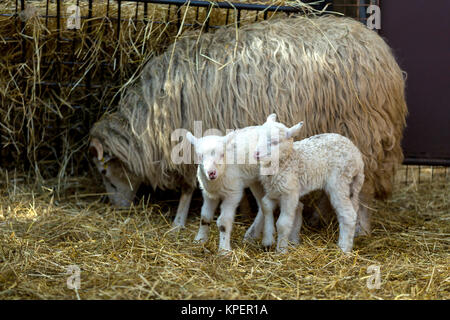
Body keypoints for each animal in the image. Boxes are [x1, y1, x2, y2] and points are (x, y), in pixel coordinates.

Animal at [89, 15, 408, 231]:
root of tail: (381, 50)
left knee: (364, 190)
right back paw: (318, 217)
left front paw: (180, 220)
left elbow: (188, 188)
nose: (118, 208)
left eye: (104, 172)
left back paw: (361, 228)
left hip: (363, 134)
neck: (150, 119)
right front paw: (241, 211)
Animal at [186, 126, 302, 254]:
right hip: (256, 182)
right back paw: (252, 235)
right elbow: (205, 217)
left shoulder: (233, 192)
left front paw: (224, 250)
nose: (211, 173)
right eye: (200, 156)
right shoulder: (209, 193)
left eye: (222, 154)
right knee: (263, 205)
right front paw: (199, 240)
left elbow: (223, 222)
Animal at [253, 114, 366, 252]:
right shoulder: (274, 190)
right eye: (259, 137)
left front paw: (281, 250)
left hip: (339, 181)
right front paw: (268, 239)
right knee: (354, 209)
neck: (287, 160)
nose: (256, 154)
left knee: (348, 214)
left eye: (275, 142)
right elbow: (265, 205)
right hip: (353, 185)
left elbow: (283, 223)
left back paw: (344, 249)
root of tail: (358, 158)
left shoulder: (289, 192)